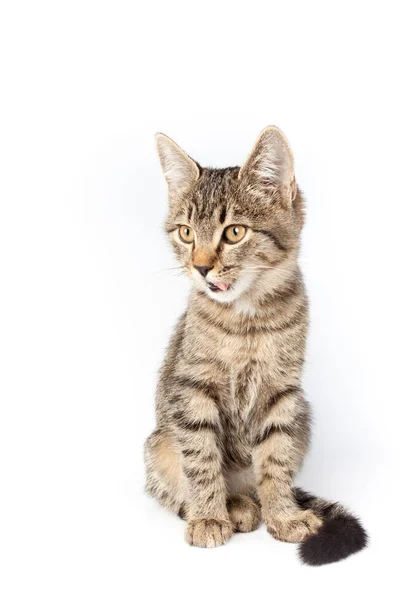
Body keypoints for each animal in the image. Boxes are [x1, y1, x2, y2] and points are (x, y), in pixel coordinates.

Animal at [145, 125, 368, 564]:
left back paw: (253, 503)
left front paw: (283, 514)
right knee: (174, 486)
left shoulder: (282, 392)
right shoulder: (191, 389)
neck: (246, 320)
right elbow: (201, 460)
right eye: (186, 233)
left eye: (234, 232)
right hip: (157, 444)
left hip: (303, 415)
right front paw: (209, 517)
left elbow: (275, 459)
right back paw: (230, 506)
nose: (200, 267)